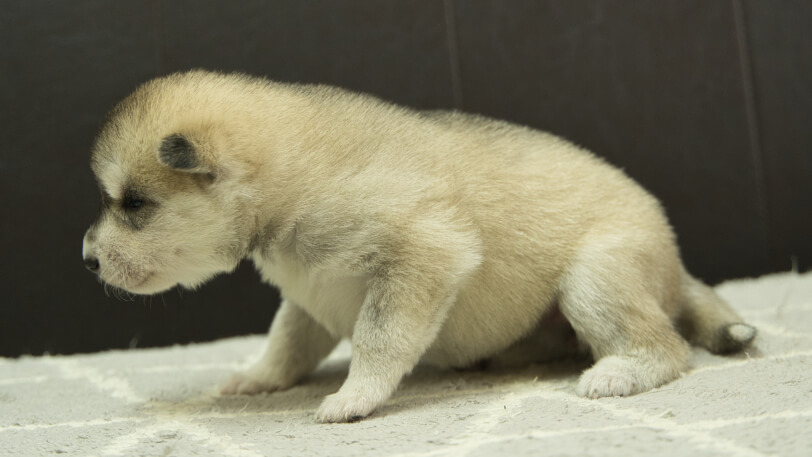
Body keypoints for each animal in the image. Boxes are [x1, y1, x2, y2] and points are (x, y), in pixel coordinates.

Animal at [82, 69, 756, 422]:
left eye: (134, 204)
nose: (87, 258)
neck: (290, 181)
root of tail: (677, 263)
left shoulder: (425, 257)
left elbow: (379, 341)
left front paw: (354, 396)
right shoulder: (306, 299)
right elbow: (286, 345)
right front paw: (261, 378)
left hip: (593, 279)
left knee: (666, 347)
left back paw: (617, 371)